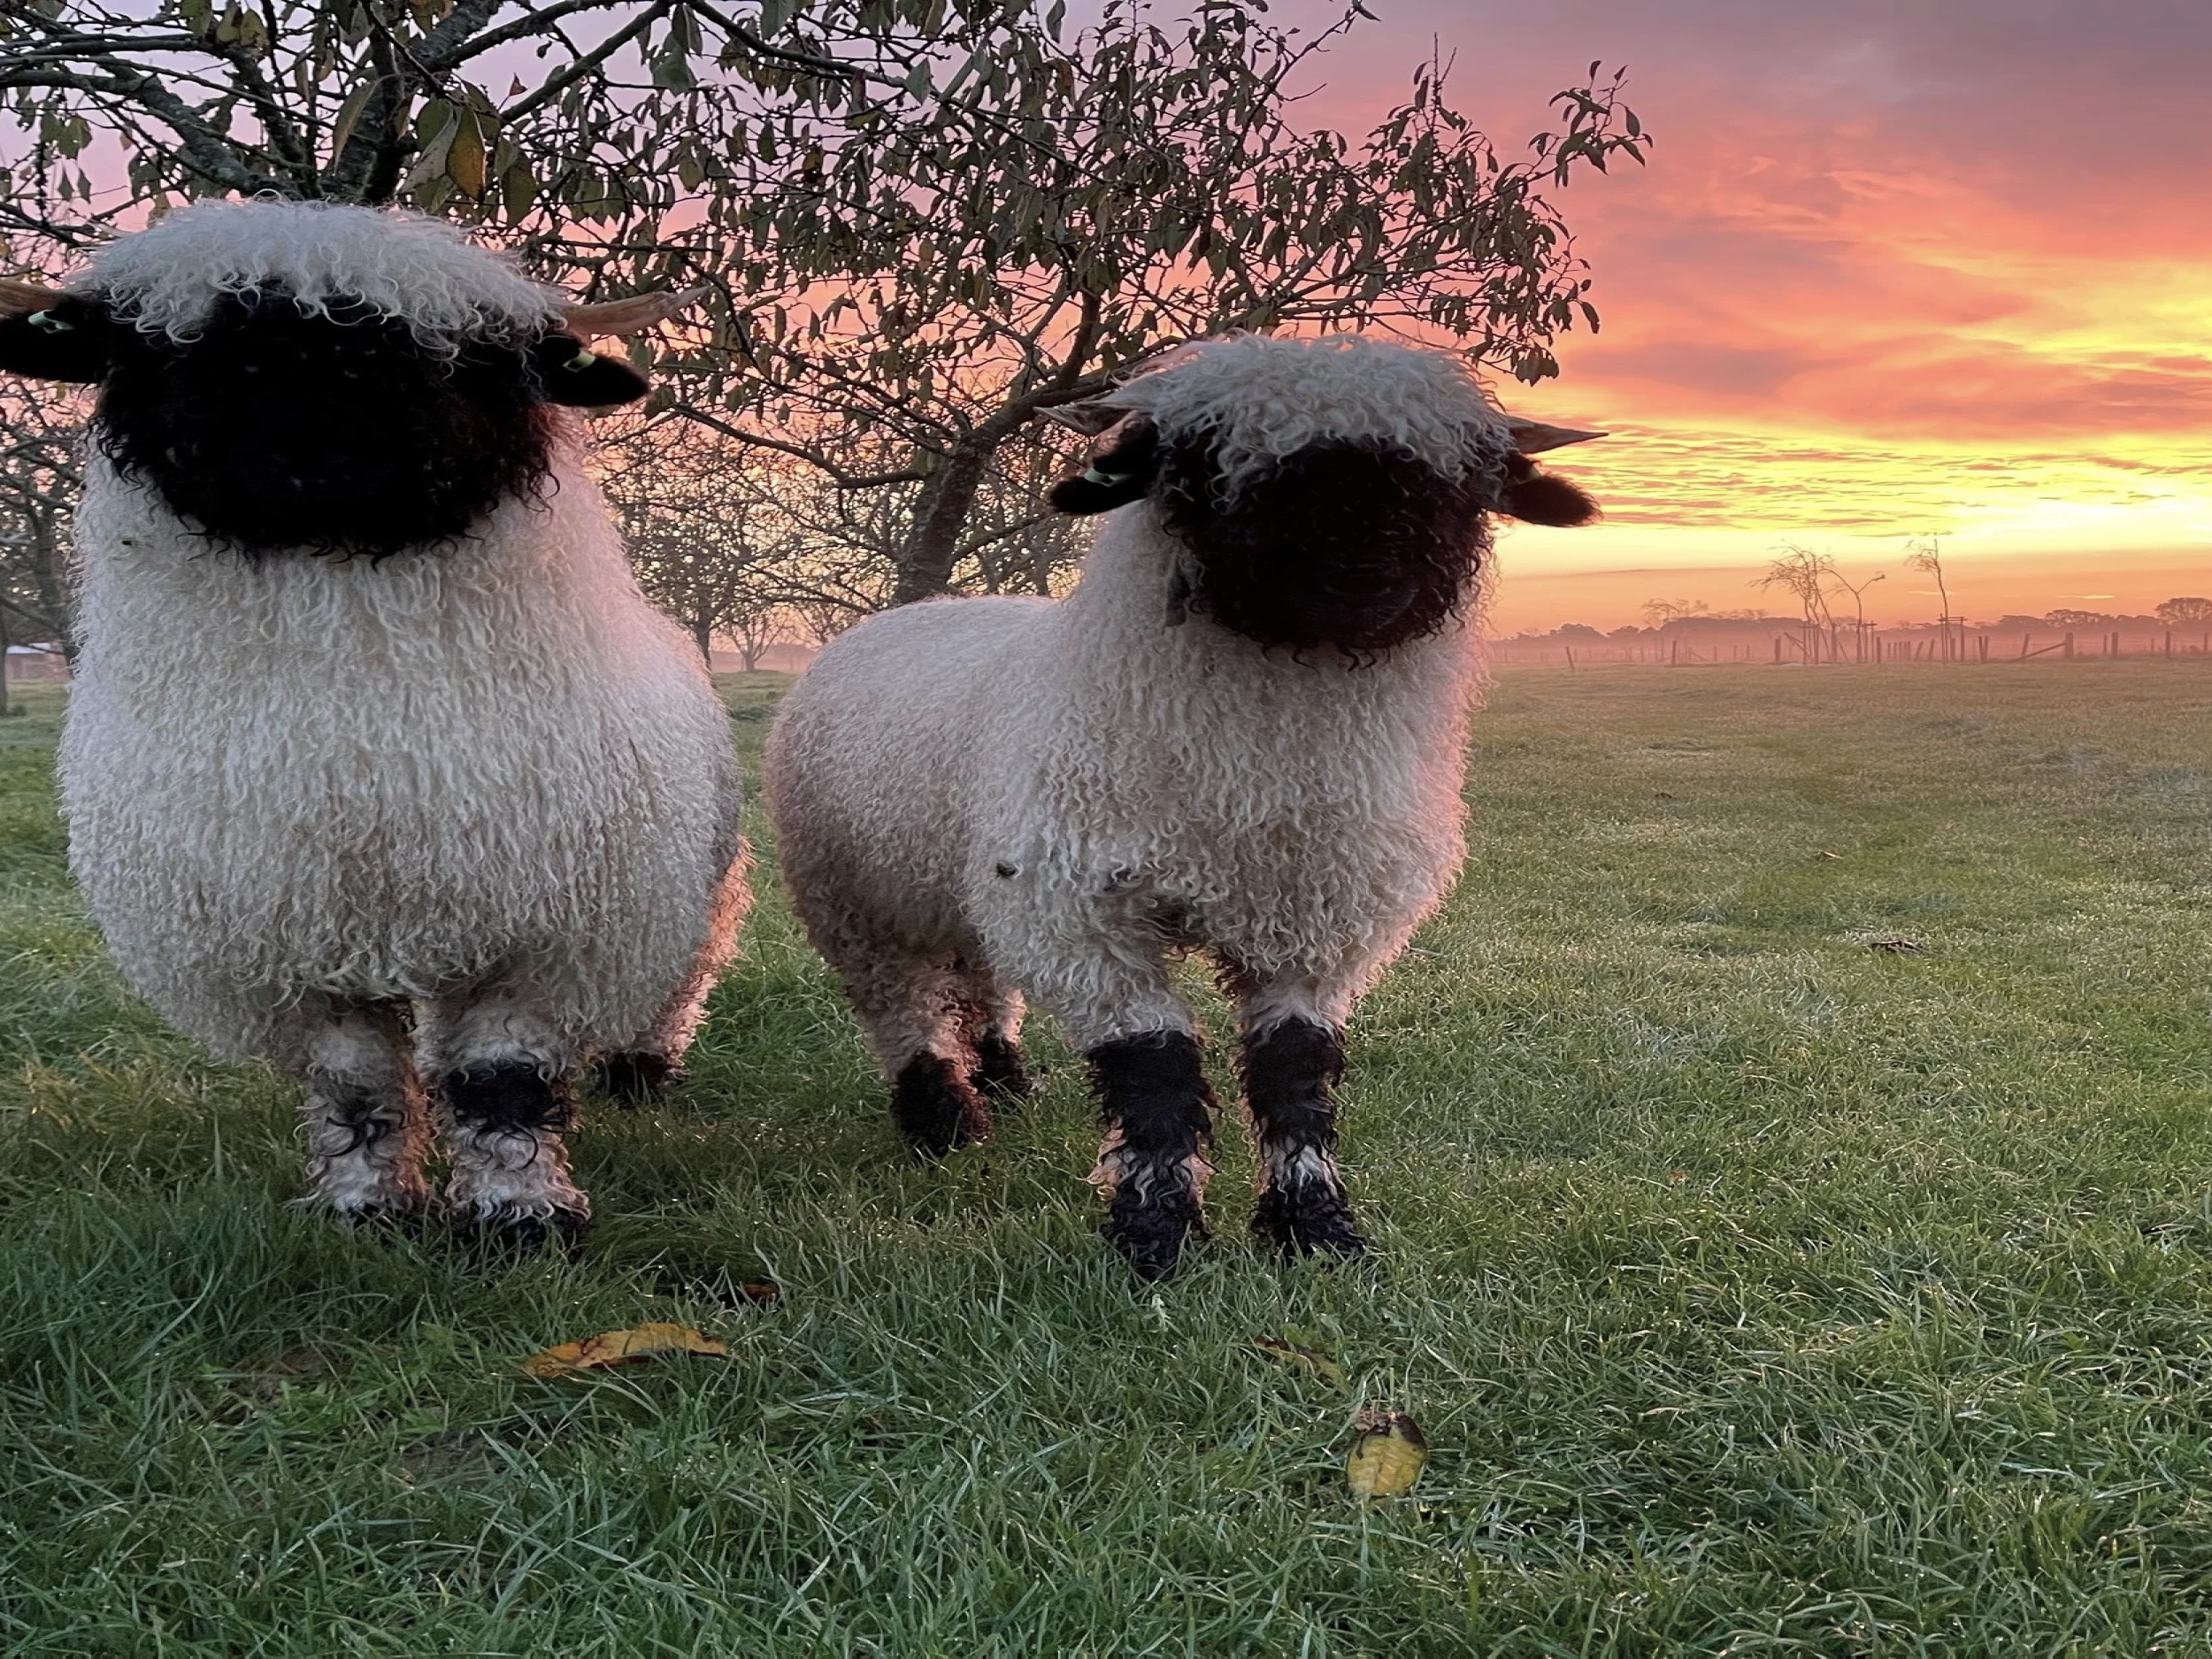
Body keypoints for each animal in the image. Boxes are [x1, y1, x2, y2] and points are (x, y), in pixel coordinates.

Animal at [0, 200, 747, 1248]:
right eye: (173, 343)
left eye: (468, 356)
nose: (314, 442)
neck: (362, 723)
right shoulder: (296, 941)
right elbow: (352, 1082)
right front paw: (365, 1209)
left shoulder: (542, 931)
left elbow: (503, 1080)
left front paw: (521, 1218)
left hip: (678, 885)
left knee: (683, 975)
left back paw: (641, 1070)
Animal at [764, 332, 1602, 1277]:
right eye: (1205, 463)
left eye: (1458, 479)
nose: (1359, 575)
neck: (1247, 778)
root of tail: (920, 607)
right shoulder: (1081, 914)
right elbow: (1154, 1071)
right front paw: (1155, 1238)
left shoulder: (1317, 922)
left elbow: (1294, 1071)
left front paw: (1315, 1230)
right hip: (855, 905)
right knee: (900, 1009)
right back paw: (940, 1122)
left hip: (967, 884)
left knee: (979, 977)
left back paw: (1007, 1082)